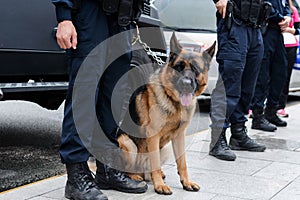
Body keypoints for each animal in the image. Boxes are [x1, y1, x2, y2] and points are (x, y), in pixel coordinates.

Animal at [117, 33, 216, 195]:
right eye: (179, 67)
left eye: (195, 69)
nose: (186, 83)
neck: (175, 103)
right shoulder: (153, 135)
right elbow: (155, 162)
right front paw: (159, 186)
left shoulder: (180, 136)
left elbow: (182, 163)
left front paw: (186, 182)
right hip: (128, 144)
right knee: (128, 169)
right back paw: (135, 178)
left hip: (166, 148)